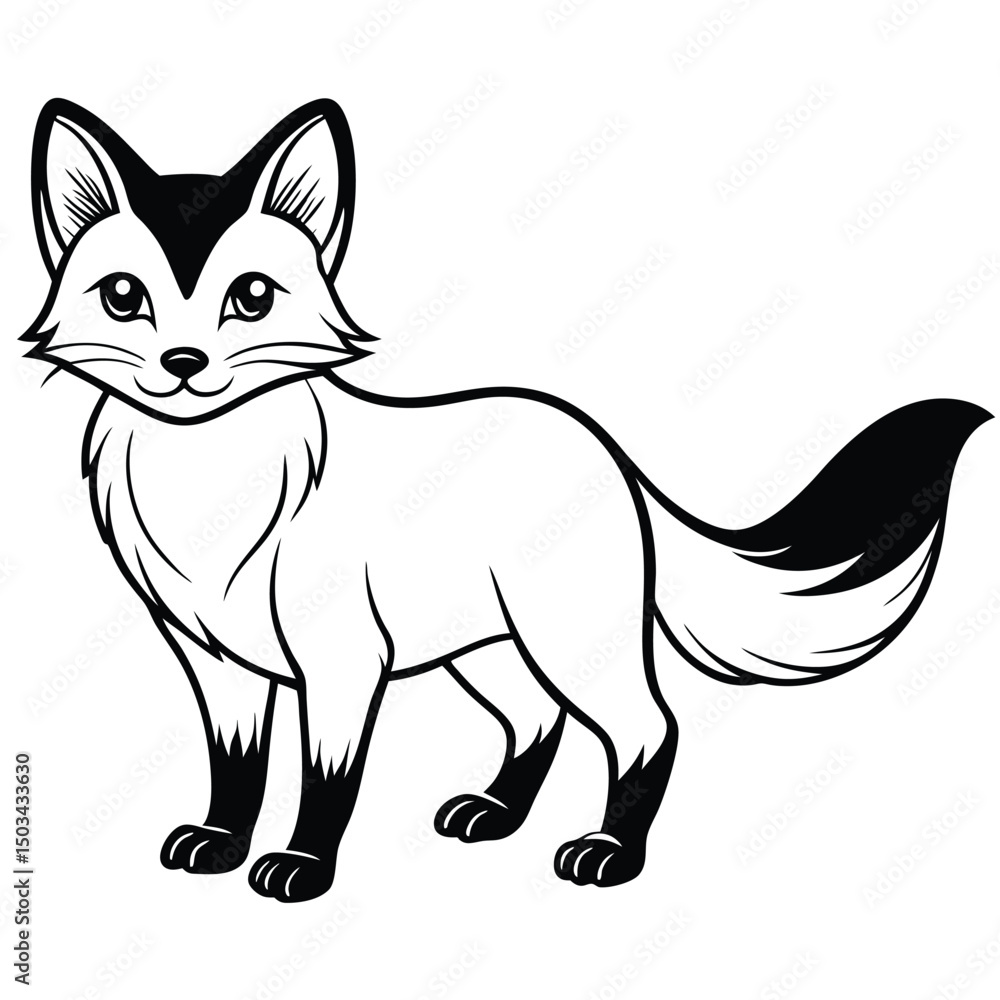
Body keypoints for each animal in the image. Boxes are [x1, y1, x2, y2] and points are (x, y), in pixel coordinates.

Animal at [22, 97, 991, 902]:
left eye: (251, 297)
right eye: (124, 298)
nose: (183, 364)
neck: (206, 479)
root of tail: (603, 444)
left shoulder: (339, 663)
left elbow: (325, 780)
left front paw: (298, 866)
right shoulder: (214, 661)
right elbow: (237, 770)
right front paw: (219, 846)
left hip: (565, 638)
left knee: (648, 726)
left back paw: (609, 855)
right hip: (484, 645)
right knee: (539, 722)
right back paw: (494, 816)